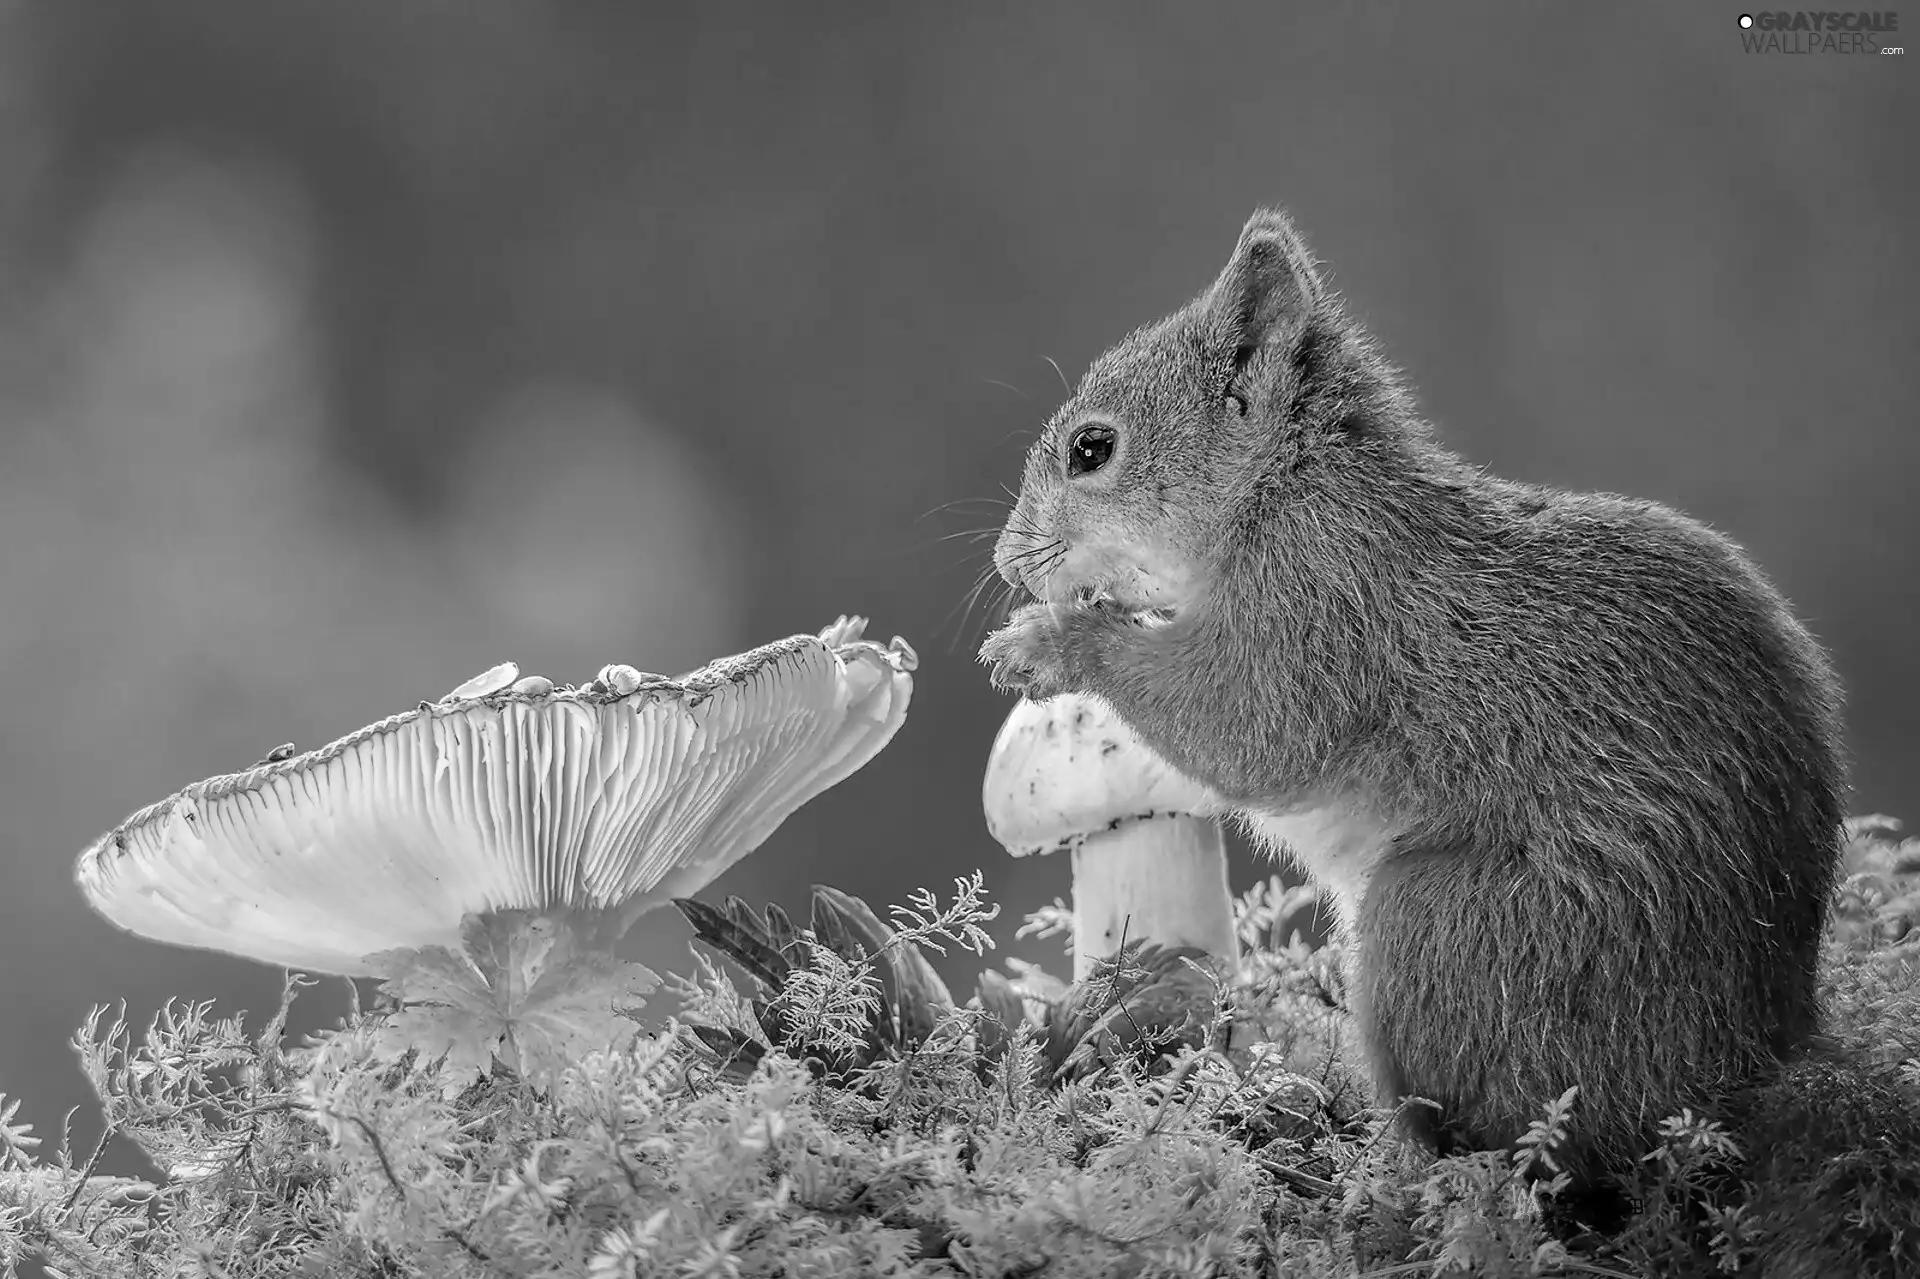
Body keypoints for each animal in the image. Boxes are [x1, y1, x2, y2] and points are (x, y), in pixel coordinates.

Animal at [983, 204, 1850, 1190]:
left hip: (1447, 930)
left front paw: (1050, 642)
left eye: (1092, 449)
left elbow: (1246, 729)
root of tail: (1746, 1064)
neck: (1284, 492)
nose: (1010, 562)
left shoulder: (1320, 616)